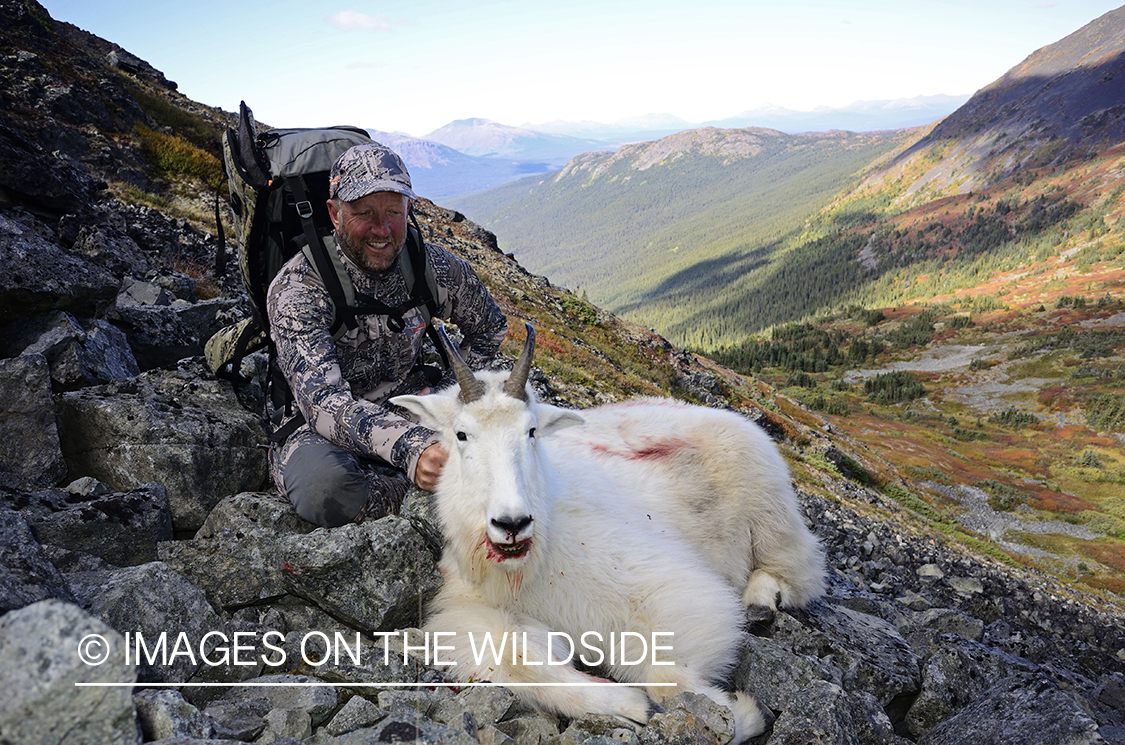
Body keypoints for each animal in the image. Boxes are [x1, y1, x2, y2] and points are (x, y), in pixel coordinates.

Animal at [393, 326, 828, 742]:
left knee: (800, 568)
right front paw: (629, 705)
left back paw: (761, 600)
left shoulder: (655, 585)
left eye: (531, 431)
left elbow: (670, 678)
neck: (533, 563)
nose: (512, 523)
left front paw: (746, 714)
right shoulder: (472, 608)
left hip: (770, 511)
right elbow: (517, 661)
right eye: (461, 434)